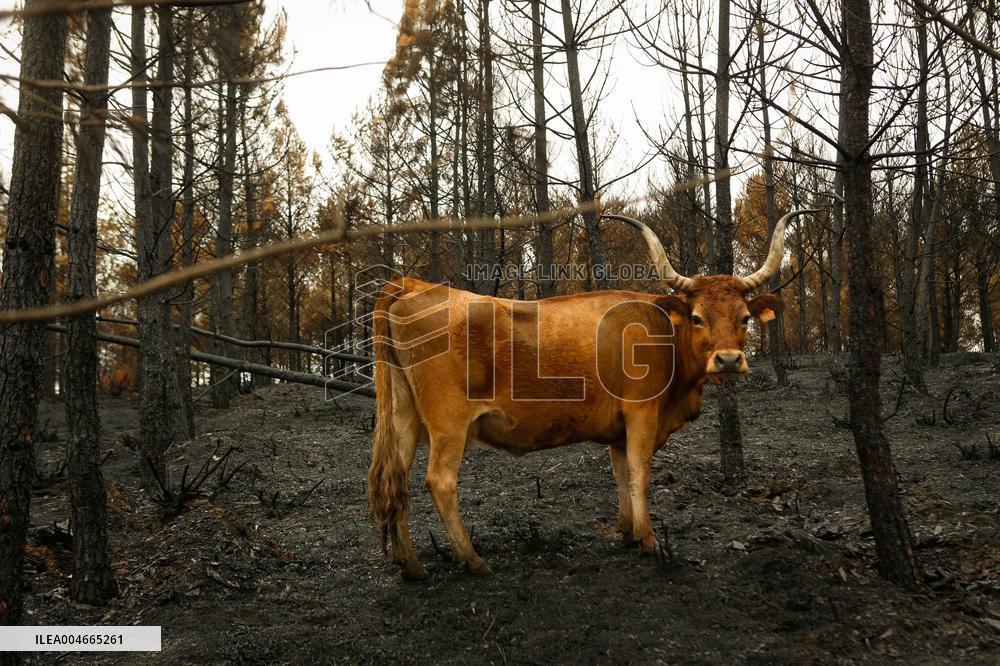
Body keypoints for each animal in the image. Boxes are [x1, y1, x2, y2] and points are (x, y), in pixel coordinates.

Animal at [368, 209, 817, 579]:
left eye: (744, 318)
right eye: (696, 317)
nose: (728, 360)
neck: (662, 332)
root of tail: (411, 284)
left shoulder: (619, 430)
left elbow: (621, 474)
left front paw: (629, 532)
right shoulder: (641, 414)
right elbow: (639, 473)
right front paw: (650, 541)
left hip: (404, 417)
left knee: (397, 482)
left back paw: (411, 565)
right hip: (448, 424)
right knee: (439, 481)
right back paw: (473, 559)